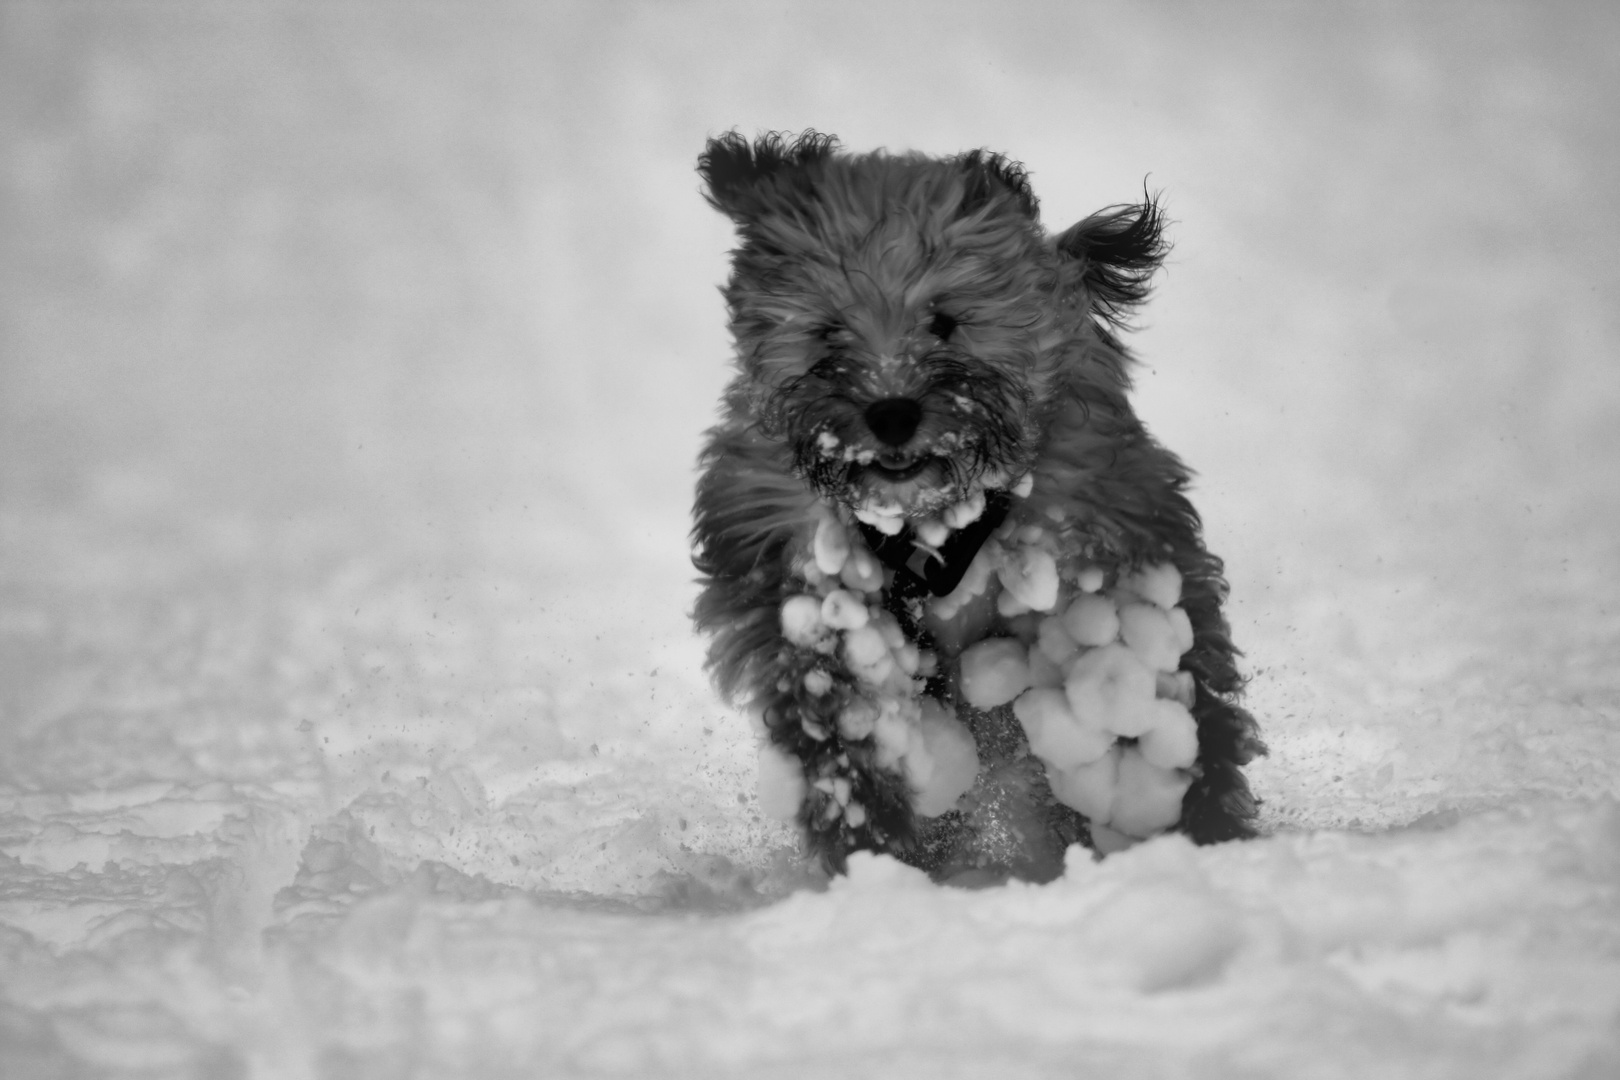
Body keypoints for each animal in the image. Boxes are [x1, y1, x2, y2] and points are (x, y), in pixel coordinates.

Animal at [690, 131, 1257, 880]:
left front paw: (1175, 802)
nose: (892, 412)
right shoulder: (783, 560)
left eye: (945, 320)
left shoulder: (1100, 521)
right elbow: (829, 700)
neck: (928, 523)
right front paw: (871, 830)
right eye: (828, 332)